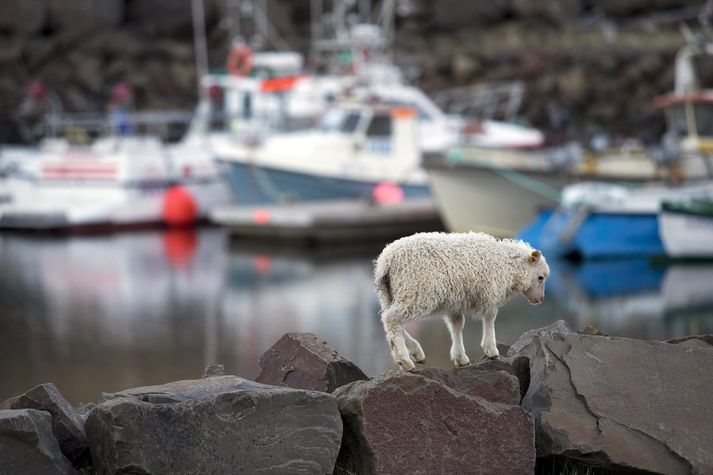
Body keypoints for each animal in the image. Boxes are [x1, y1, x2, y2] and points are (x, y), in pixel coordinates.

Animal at [372, 232, 552, 374]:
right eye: (540, 277)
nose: (540, 299)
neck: (507, 266)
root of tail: (386, 261)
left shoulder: (454, 302)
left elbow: (457, 325)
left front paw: (460, 357)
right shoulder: (488, 292)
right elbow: (490, 318)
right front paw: (491, 349)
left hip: (392, 295)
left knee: (392, 323)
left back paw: (415, 352)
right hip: (415, 291)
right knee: (392, 320)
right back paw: (404, 360)